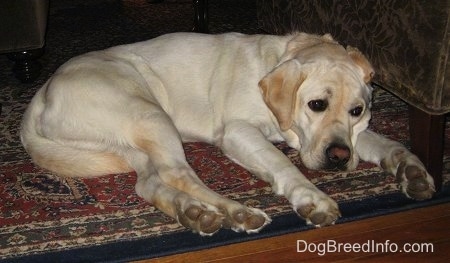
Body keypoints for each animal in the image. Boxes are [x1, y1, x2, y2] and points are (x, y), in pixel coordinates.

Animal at [22, 32, 436, 236]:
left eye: (357, 110)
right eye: (316, 104)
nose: (338, 159)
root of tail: (41, 95)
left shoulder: (351, 135)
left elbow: (383, 142)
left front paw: (411, 169)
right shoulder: (238, 131)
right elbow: (283, 165)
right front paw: (312, 198)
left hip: (134, 140)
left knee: (150, 183)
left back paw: (192, 213)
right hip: (150, 113)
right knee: (179, 173)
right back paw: (236, 212)